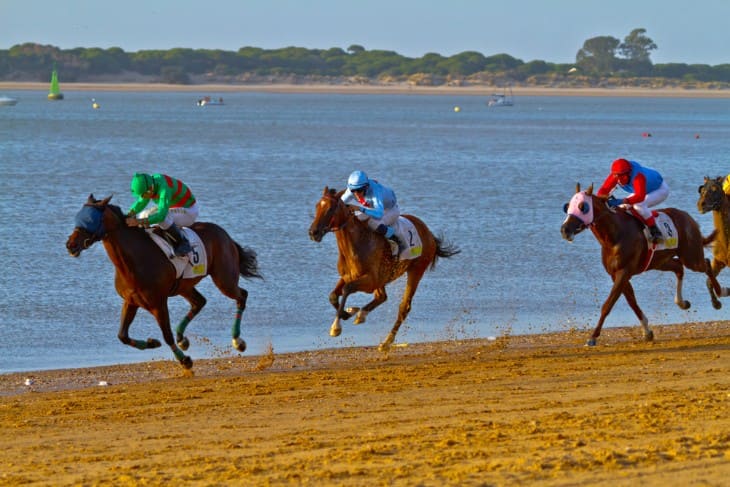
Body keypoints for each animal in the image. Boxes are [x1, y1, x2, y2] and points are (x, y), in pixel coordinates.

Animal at [64, 194, 260, 370]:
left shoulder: (158, 302)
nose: (70, 245)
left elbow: (167, 335)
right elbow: (122, 336)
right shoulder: (131, 301)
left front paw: (184, 360)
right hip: (184, 285)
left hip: (224, 279)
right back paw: (183, 339)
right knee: (199, 302)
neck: (135, 260)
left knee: (241, 296)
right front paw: (153, 342)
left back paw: (237, 340)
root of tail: (224, 234)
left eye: (90, 220)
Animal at [306, 187, 456, 350]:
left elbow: (347, 289)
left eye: (331, 208)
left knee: (403, 307)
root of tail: (428, 232)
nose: (313, 232)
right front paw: (349, 312)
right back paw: (361, 314)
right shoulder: (348, 276)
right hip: (384, 278)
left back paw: (386, 341)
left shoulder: (370, 281)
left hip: (416, 270)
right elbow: (333, 295)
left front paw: (336, 327)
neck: (358, 243)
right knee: (382, 296)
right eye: (317, 206)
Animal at [560, 183, 720, 346]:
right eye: (568, 206)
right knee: (678, 267)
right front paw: (647, 331)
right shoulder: (616, 275)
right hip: (660, 261)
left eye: (582, 206)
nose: (565, 230)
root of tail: (688, 217)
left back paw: (719, 296)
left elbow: (608, 304)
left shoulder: (623, 272)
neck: (615, 235)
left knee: (706, 264)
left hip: (691, 257)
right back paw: (682, 302)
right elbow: (632, 302)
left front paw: (593, 337)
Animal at [692, 175, 728, 304]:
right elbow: (709, 282)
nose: (701, 204)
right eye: (702, 190)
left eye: (715, 189)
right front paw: (716, 303)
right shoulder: (719, 261)